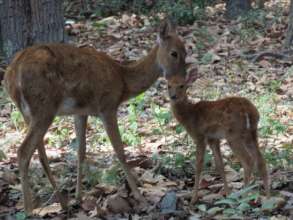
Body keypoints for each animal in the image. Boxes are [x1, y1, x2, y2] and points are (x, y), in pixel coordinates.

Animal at [4, 19, 187, 213]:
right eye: (174, 53)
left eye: (186, 52)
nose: (181, 80)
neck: (123, 81)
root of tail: (12, 76)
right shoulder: (107, 107)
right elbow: (120, 151)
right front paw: (141, 199)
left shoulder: (81, 112)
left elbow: (81, 151)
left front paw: (79, 197)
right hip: (43, 108)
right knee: (23, 152)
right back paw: (29, 210)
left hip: (30, 113)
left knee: (40, 154)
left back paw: (63, 203)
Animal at [167, 74, 270, 205]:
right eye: (168, 85)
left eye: (182, 85)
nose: (173, 96)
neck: (189, 115)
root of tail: (248, 111)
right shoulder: (213, 139)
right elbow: (220, 165)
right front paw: (227, 193)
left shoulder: (199, 136)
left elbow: (199, 165)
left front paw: (193, 199)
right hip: (251, 132)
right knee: (261, 160)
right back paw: (268, 198)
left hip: (233, 134)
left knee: (248, 160)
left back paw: (243, 196)